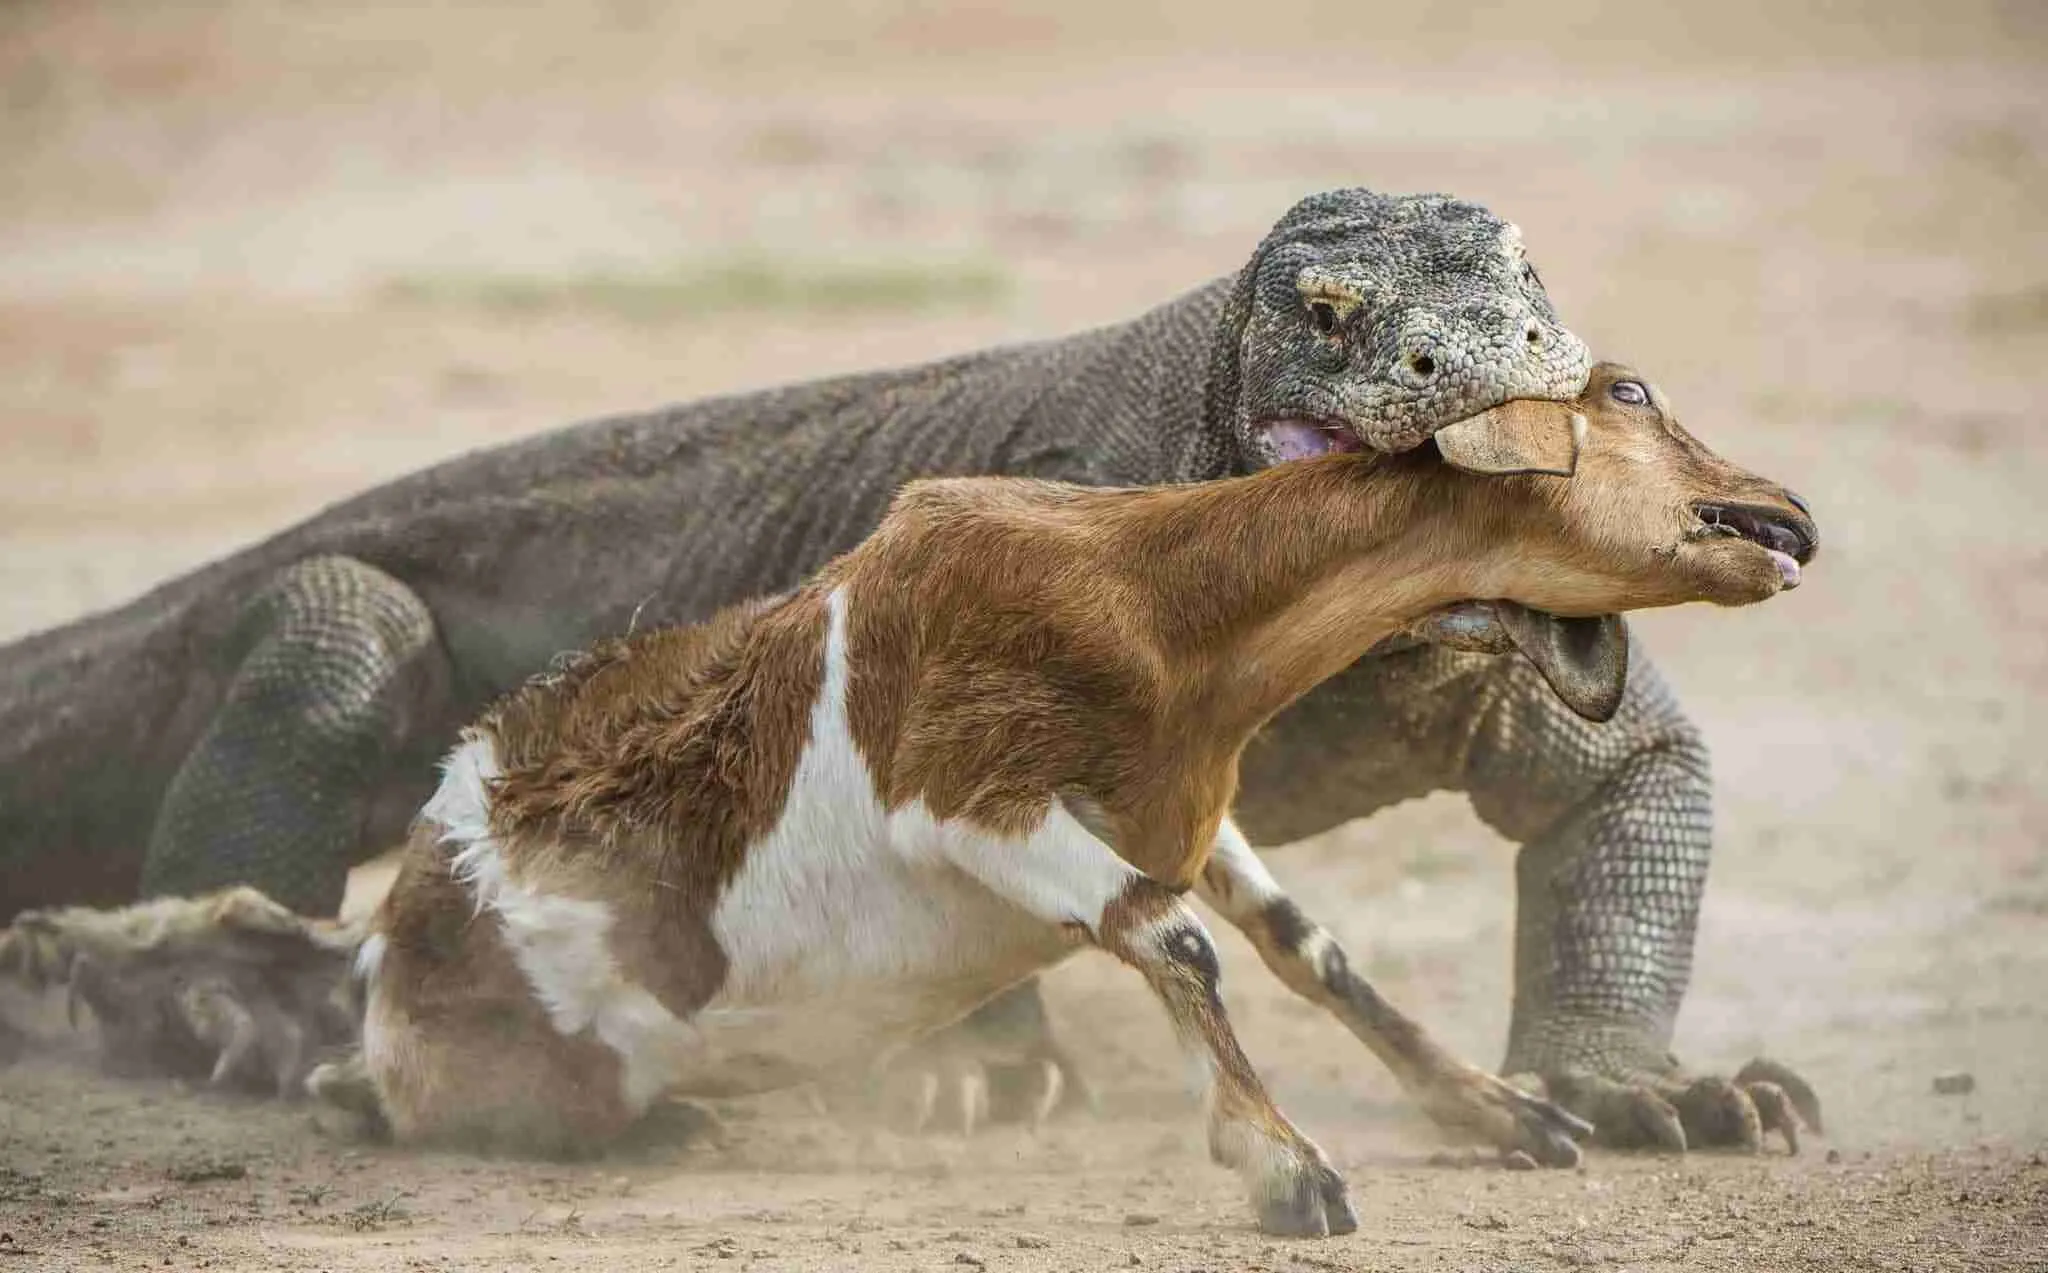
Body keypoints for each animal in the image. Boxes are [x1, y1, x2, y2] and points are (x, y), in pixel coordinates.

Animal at [327, 364, 1818, 1244]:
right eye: (1629, 391)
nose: (1785, 511)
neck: (1148, 595)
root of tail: (400, 933)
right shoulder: (970, 800)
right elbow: (1172, 937)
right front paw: (1287, 1168)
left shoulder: (1188, 810)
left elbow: (1307, 948)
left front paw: (1504, 1115)